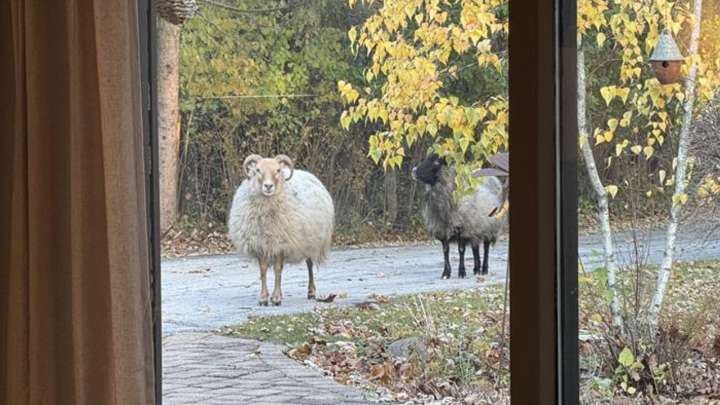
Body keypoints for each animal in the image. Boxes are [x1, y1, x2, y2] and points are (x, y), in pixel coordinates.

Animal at [227, 154, 335, 306]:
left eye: (278, 170)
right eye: (258, 170)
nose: (268, 186)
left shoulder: (281, 243)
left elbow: (278, 270)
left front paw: (276, 298)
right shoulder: (261, 244)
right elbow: (263, 271)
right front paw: (264, 298)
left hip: (310, 242)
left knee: (309, 265)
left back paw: (311, 291)